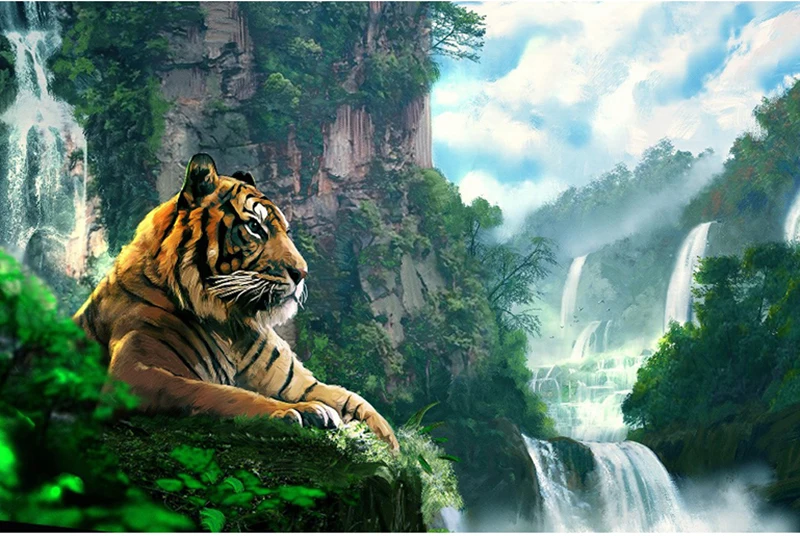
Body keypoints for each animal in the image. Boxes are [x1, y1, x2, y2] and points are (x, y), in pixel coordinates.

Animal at [73, 153, 398, 450]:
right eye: (255, 227)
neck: (232, 324)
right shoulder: (135, 373)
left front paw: (392, 447)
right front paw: (300, 412)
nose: (302, 272)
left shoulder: (299, 383)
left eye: (286, 231)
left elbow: (355, 401)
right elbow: (221, 393)